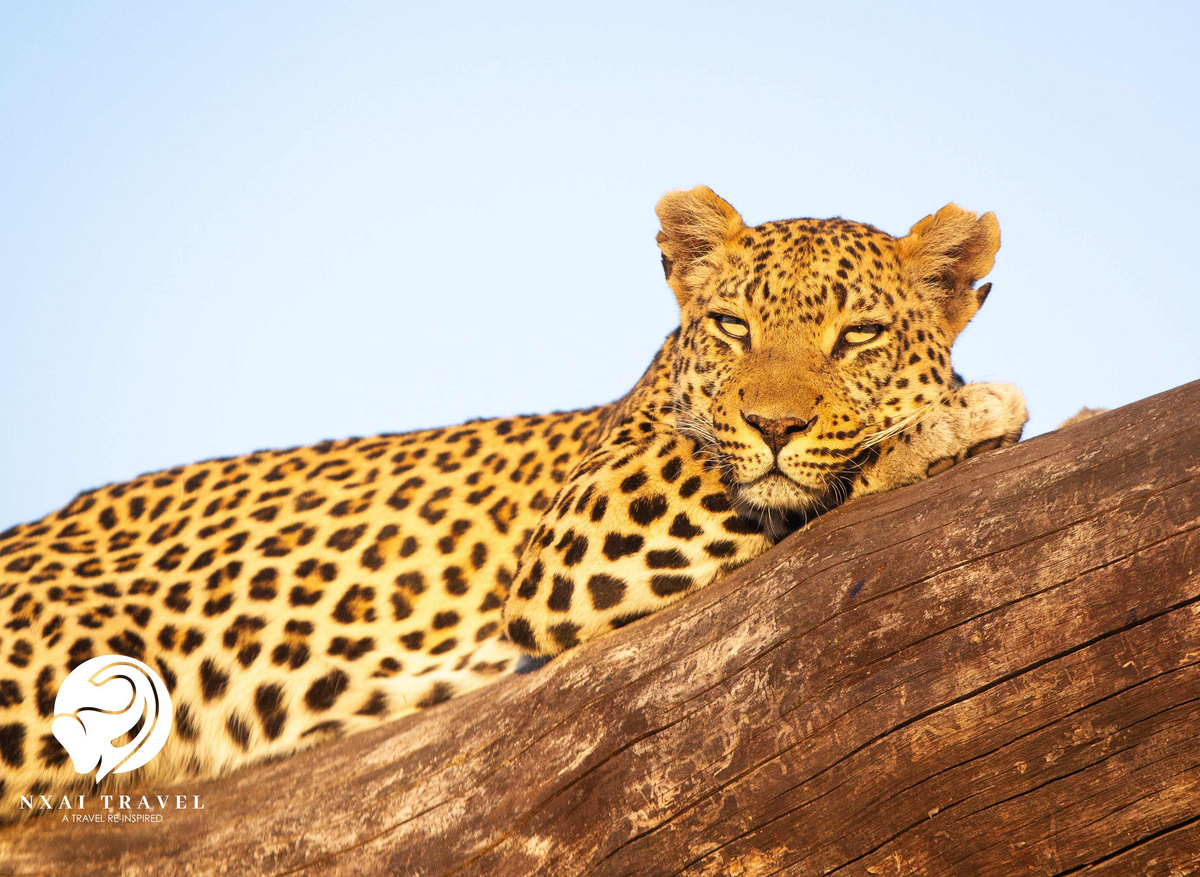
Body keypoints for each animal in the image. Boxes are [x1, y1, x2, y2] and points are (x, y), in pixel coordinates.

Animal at [0, 187, 1028, 820]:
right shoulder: (585, 522)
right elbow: (756, 471)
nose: (774, 422)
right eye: (735, 326)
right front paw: (953, 418)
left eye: (858, 336)